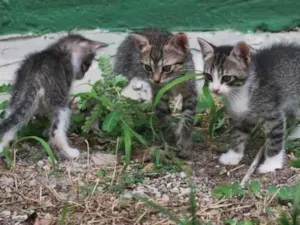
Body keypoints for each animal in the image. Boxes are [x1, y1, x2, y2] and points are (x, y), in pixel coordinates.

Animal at [113, 28, 197, 156]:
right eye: (148, 67)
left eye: (167, 68)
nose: (156, 80)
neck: (173, 80)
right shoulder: (159, 95)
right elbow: (165, 119)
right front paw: (171, 138)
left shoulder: (190, 92)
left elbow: (187, 118)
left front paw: (184, 141)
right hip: (121, 73)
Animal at [198, 38, 300, 172]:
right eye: (208, 76)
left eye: (226, 78)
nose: (215, 90)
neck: (239, 92)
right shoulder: (239, 116)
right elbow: (238, 135)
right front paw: (233, 155)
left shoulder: (273, 115)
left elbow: (275, 138)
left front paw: (271, 164)